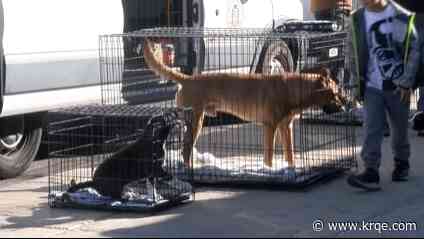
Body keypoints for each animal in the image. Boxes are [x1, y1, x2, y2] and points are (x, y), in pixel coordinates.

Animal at [142, 38, 344, 168]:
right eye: (335, 93)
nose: (344, 106)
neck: (293, 88)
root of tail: (187, 79)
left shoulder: (286, 128)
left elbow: (290, 154)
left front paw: (291, 168)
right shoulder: (270, 127)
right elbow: (269, 156)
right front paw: (269, 170)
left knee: (185, 148)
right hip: (195, 121)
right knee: (185, 149)